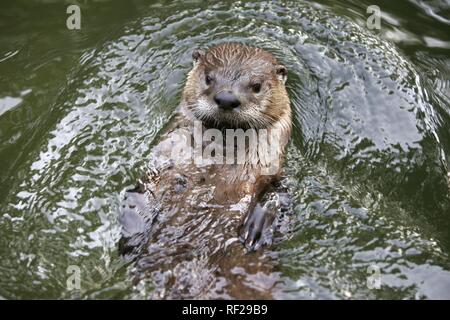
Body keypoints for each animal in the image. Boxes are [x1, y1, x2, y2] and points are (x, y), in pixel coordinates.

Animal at [120, 43, 292, 300]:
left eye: (256, 86)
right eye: (209, 78)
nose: (227, 98)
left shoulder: (271, 169)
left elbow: (278, 191)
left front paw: (257, 227)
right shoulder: (164, 157)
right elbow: (143, 189)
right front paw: (133, 234)